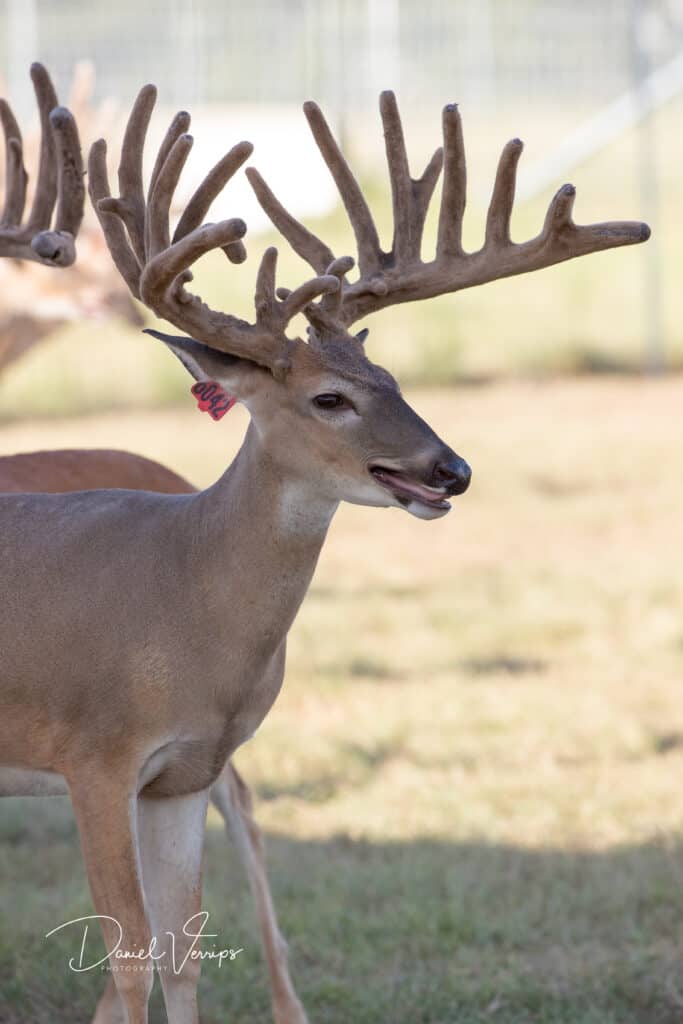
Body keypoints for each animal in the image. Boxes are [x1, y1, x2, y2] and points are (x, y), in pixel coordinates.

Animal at [0, 77, 648, 1024]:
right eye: (330, 398)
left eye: (394, 382)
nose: (450, 470)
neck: (179, 592)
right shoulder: (95, 753)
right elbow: (126, 958)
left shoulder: (181, 772)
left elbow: (181, 951)